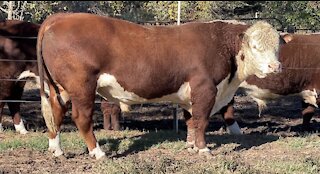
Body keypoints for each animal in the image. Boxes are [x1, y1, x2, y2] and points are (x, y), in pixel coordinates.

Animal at [37, 12, 282, 160]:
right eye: (255, 46)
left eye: (277, 46)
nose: (275, 66)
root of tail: (61, 18)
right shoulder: (206, 88)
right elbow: (202, 120)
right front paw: (204, 149)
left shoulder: (189, 93)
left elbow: (191, 121)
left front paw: (191, 146)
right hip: (82, 86)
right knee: (82, 117)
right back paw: (98, 152)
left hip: (59, 88)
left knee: (55, 113)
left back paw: (56, 150)